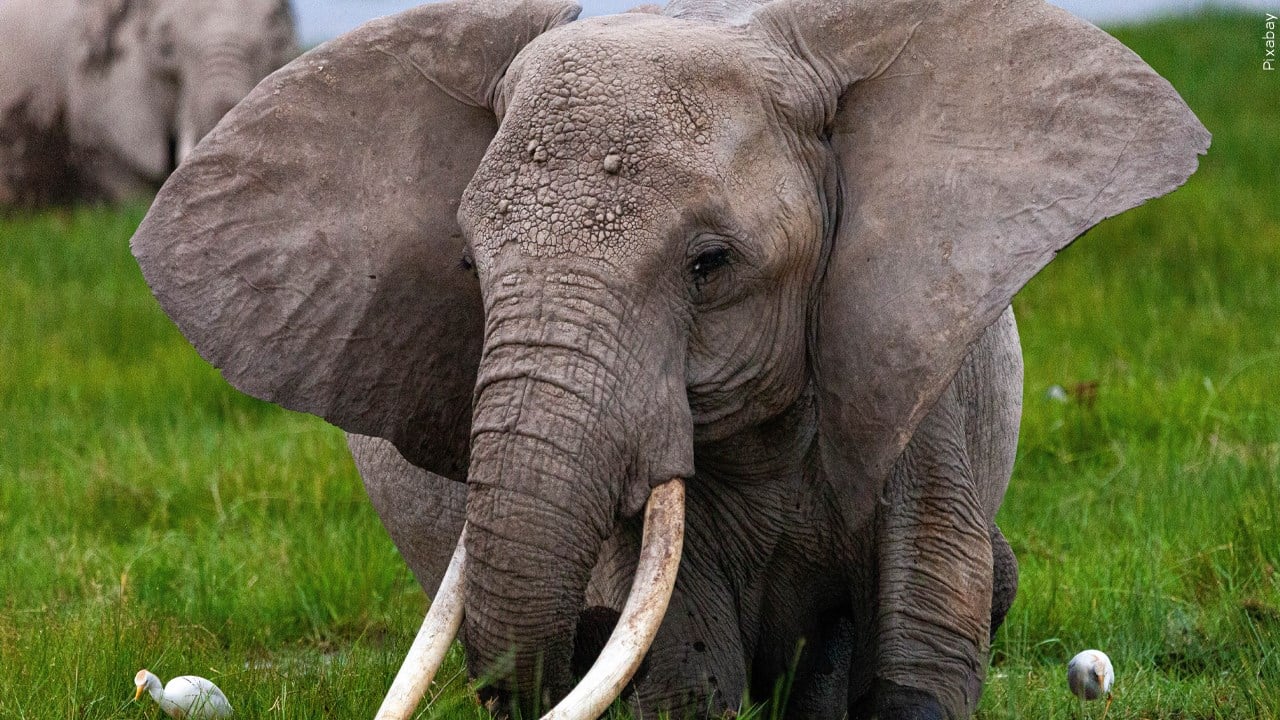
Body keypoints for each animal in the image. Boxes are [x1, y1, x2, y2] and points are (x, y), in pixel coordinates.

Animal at [124, 2, 1203, 712]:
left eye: (709, 264)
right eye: (468, 266)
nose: (585, 631)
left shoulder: (913, 348)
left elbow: (925, 625)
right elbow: (686, 667)